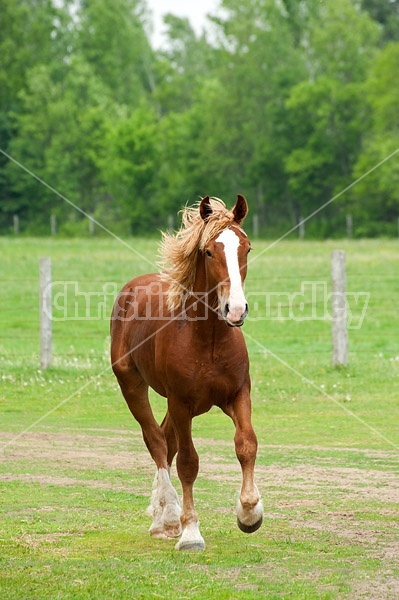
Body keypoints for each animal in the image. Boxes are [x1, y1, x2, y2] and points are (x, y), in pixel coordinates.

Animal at [111, 195, 264, 552]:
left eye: (247, 248)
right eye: (209, 251)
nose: (236, 309)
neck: (208, 340)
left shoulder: (238, 394)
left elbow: (246, 444)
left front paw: (249, 512)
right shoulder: (181, 403)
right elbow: (188, 463)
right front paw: (191, 531)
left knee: (166, 441)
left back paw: (161, 515)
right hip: (133, 386)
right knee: (156, 442)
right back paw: (168, 518)